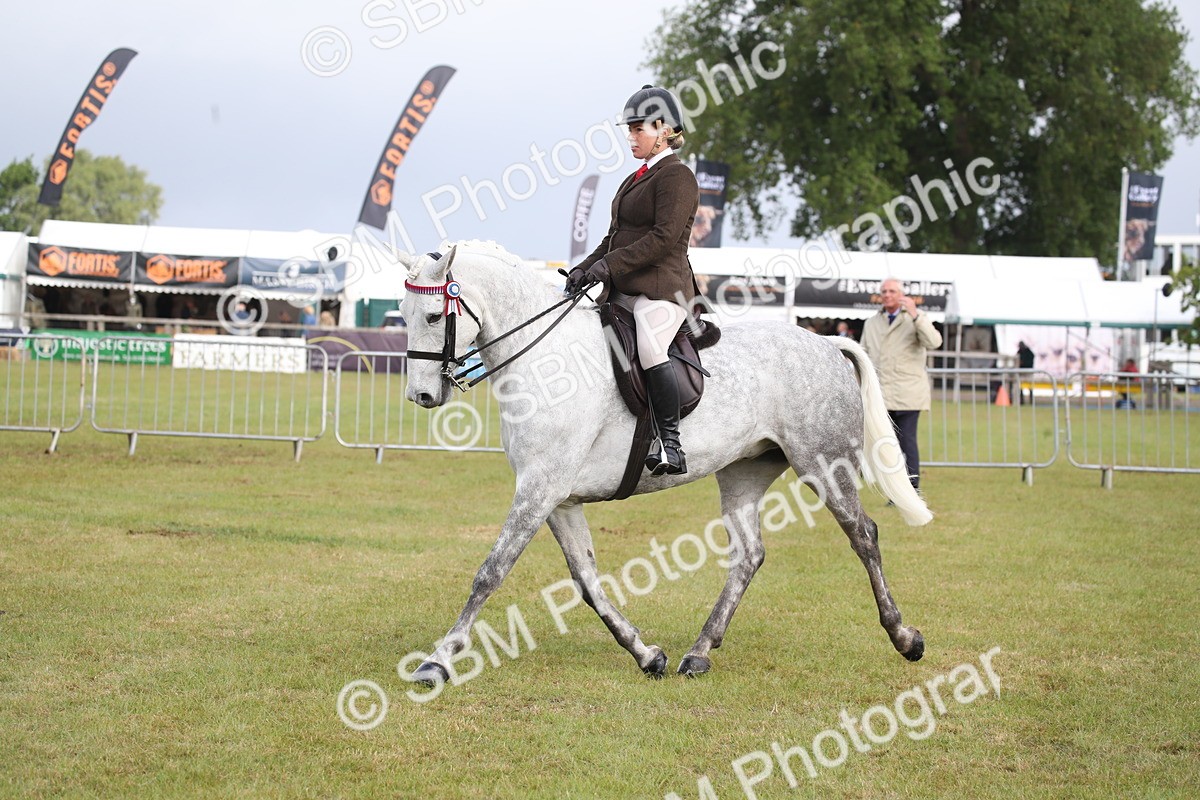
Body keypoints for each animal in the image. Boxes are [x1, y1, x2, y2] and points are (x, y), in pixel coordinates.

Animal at [395, 240, 931, 683]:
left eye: (432, 315)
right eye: (401, 312)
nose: (421, 396)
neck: (545, 360)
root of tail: (824, 342)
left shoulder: (539, 489)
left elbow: (490, 572)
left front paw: (437, 662)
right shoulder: (558, 498)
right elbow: (586, 580)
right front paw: (645, 653)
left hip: (824, 465)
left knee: (863, 535)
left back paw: (904, 637)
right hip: (743, 473)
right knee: (749, 555)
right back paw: (699, 652)